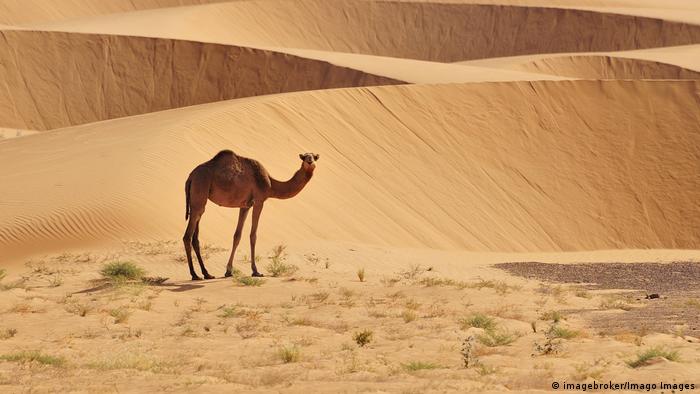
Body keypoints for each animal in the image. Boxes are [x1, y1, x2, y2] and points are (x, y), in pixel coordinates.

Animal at [183, 149, 320, 280]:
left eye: (314, 156)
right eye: (304, 157)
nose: (309, 160)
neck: (270, 184)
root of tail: (190, 177)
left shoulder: (245, 206)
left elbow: (237, 236)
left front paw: (229, 271)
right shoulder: (259, 201)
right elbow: (253, 235)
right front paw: (256, 271)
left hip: (198, 200)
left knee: (195, 236)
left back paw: (207, 274)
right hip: (199, 190)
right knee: (187, 236)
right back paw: (194, 275)